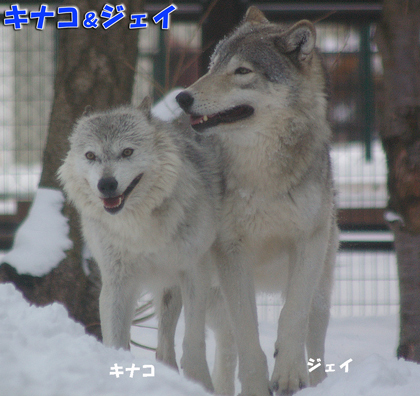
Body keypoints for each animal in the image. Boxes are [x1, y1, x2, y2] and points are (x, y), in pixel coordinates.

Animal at [60, 99, 223, 392]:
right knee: (166, 348)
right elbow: (116, 340)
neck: (140, 229)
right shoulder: (117, 282)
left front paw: (200, 384)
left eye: (127, 151)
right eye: (90, 156)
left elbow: (193, 342)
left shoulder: (195, 272)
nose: (107, 184)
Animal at [176, 6, 340, 396]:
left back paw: (317, 381)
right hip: (207, 288)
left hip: (322, 283)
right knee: (223, 344)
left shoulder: (309, 241)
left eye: (242, 71)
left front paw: (290, 375)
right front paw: (255, 386)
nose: (183, 98)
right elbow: (248, 335)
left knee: (314, 327)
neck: (263, 176)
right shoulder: (231, 253)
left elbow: (292, 315)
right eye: (213, 64)